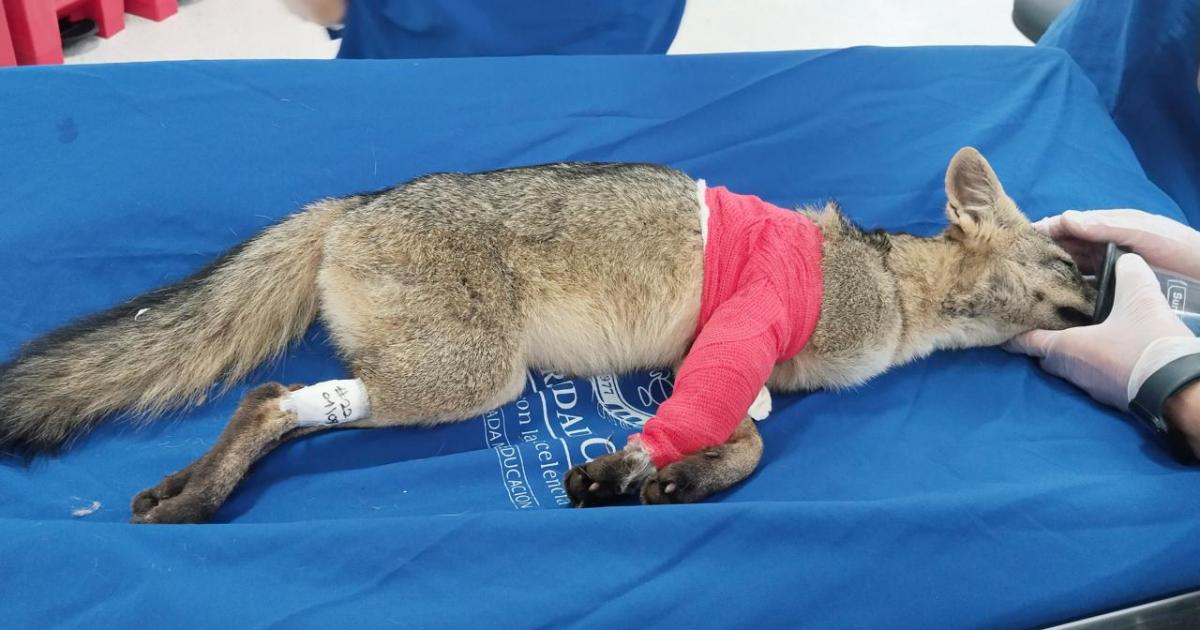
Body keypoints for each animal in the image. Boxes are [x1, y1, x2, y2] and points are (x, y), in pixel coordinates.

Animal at [0, 147, 1094, 523]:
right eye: (1064, 262)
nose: (1109, 281)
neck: (892, 285)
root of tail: (353, 202)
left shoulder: (721, 365)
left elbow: (742, 437)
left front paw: (681, 477)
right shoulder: (742, 331)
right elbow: (730, 433)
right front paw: (630, 471)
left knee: (273, 400)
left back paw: (184, 490)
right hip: (473, 378)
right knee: (270, 397)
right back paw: (201, 496)